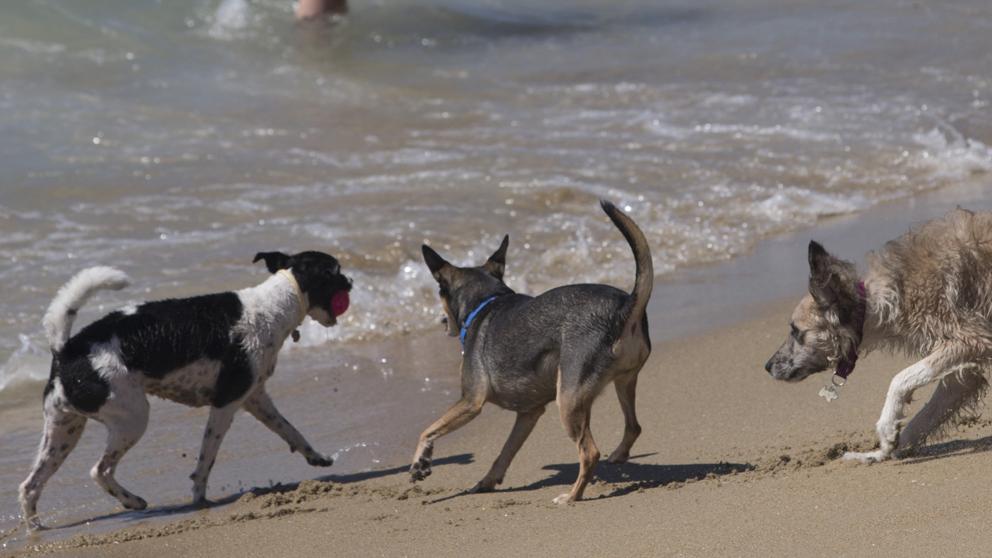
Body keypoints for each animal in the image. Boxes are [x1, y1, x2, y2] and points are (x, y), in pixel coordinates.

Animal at [18, 252, 352, 532]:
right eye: (335, 271)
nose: (351, 281)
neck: (276, 304)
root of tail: (66, 349)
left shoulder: (255, 398)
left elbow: (290, 430)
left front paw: (317, 457)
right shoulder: (226, 403)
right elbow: (206, 459)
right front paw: (199, 497)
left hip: (64, 431)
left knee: (30, 485)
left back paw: (37, 529)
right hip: (132, 418)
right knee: (98, 471)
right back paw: (132, 501)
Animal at [406, 202, 656, 508]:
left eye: (440, 293)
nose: (443, 322)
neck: (486, 302)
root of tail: (625, 306)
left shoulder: (471, 401)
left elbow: (428, 429)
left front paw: (420, 462)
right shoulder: (528, 413)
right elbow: (505, 451)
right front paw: (487, 481)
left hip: (568, 400)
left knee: (589, 452)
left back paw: (572, 496)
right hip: (623, 383)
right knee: (633, 426)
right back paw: (618, 456)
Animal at [772, 210, 992, 464]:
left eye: (796, 331)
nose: (768, 366)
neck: (873, 303)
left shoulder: (972, 339)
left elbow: (900, 379)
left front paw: (886, 428)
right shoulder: (964, 372)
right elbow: (925, 417)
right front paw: (882, 450)